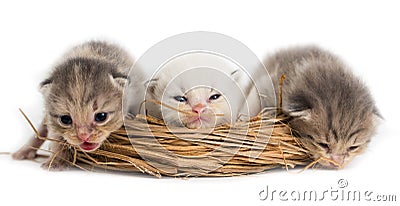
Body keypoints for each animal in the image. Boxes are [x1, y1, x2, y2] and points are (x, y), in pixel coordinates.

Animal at [12, 41, 144, 170]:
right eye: (65, 119)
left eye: (101, 116)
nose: (84, 136)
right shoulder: (51, 120)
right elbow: (56, 136)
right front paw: (56, 160)